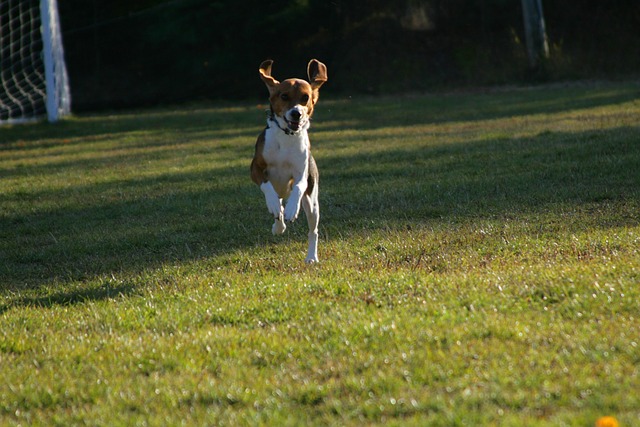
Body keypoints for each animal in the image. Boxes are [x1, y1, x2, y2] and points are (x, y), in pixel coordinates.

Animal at [250, 58, 328, 262]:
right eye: (284, 96)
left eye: (305, 98)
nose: (296, 113)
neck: (287, 135)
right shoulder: (255, 168)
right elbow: (267, 187)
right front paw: (275, 207)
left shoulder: (302, 172)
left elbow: (298, 186)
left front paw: (292, 209)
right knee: (278, 210)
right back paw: (278, 224)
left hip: (313, 203)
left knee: (313, 231)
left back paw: (311, 257)